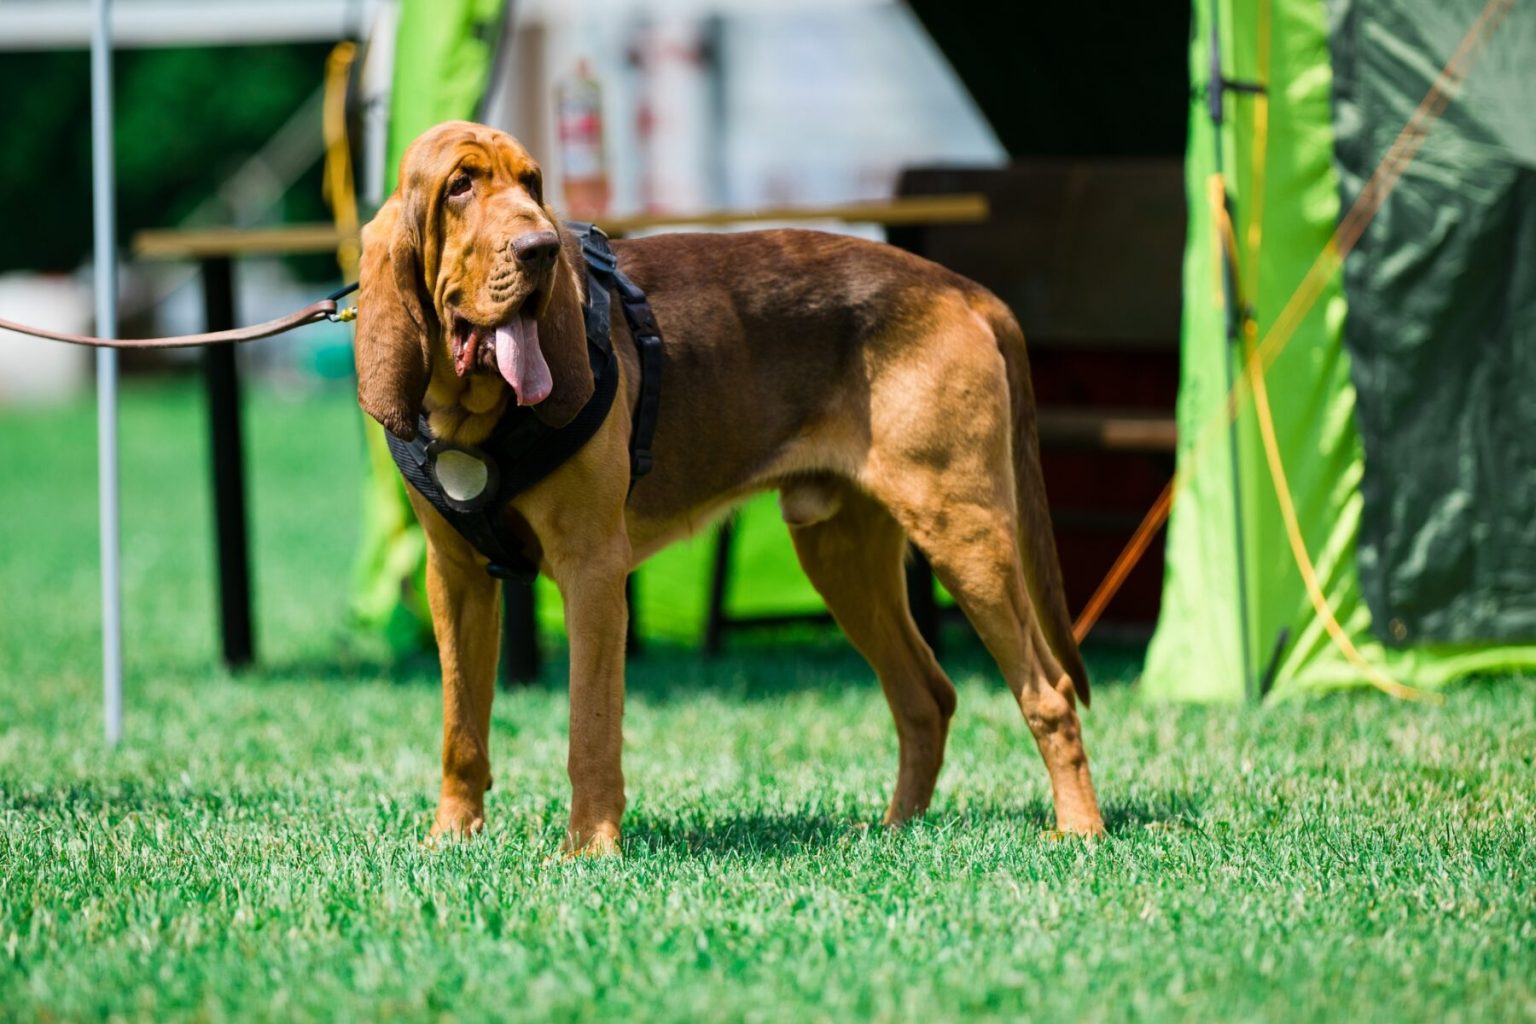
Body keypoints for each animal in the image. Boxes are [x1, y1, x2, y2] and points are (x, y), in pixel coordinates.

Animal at [356, 122, 1105, 859]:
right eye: (459, 186)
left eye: (532, 184)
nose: (541, 248)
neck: (476, 416)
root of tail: (958, 287)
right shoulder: (455, 578)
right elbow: (462, 726)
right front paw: (450, 836)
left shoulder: (592, 570)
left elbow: (589, 728)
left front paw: (591, 848)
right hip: (842, 554)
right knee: (926, 695)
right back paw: (899, 829)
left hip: (964, 533)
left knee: (1049, 692)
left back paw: (1080, 829)